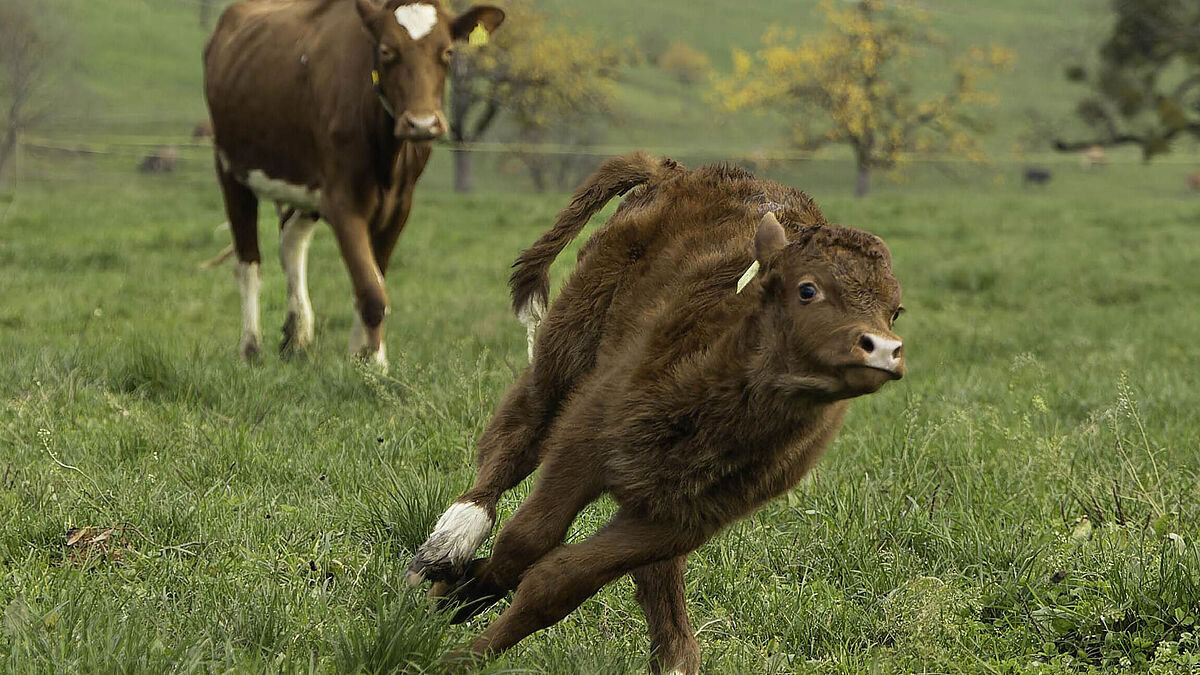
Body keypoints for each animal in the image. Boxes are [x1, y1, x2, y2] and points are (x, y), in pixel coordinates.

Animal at [204, 0, 504, 365]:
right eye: (387, 50)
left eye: (447, 51)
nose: (421, 123)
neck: (388, 155)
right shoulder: (344, 202)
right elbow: (372, 290)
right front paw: (373, 362)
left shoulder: (398, 205)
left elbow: (374, 279)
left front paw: (364, 356)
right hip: (232, 169)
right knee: (248, 263)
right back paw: (251, 348)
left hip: (307, 183)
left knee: (291, 241)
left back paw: (296, 338)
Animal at [408, 153, 902, 672]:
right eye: (808, 290)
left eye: (896, 311)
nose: (884, 349)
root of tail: (677, 171)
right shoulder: (583, 442)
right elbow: (527, 539)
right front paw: (452, 604)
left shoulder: (683, 520)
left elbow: (559, 581)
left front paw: (465, 619)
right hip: (568, 345)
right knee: (515, 437)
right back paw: (451, 540)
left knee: (654, 576)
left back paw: (675, 654)